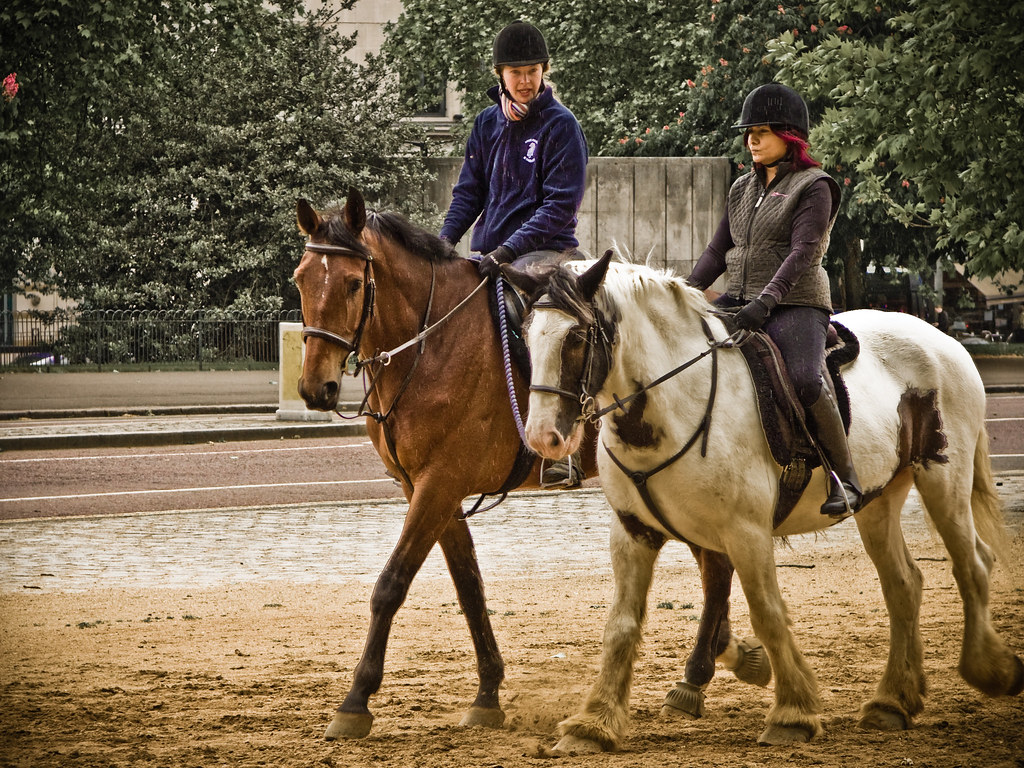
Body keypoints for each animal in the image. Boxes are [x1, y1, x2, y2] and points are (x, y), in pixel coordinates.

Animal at [292, 189, 770, 740]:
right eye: (300, 278)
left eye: (353, 283)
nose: (316, 387)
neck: (435, 344)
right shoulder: (430, 491)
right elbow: (470, 588)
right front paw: (487, 692)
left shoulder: (439, 486)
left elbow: (391, 585)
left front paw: (356, 700)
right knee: (714, 561)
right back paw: (725, 655)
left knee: (716, 565)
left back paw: (698, 672)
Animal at [508, 250, 1022, 751]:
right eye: (526, 336)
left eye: (576, 336)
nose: (543, 437)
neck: (675, 403)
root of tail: (942, 340)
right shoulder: (635, 533)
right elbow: (621, 625)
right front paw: (593, 724)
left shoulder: (745, 532)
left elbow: (767, 613)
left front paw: (792, 713)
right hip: (878, 501)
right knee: (903, 584)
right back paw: (892, 701)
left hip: (943, 479)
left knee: (972, 565)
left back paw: (988, 669)